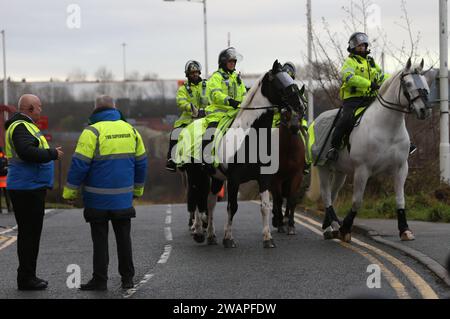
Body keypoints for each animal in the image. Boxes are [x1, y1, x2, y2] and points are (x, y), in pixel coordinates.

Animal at [308, 58, 438, 242]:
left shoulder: (401, 168)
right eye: (408, 83)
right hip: (323, 167)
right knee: (326, 195)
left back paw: (329, 227)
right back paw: (333, 226)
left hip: (340, 172)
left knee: (333, 195)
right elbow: (357, 201)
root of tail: (317, 119)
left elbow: (400, 199)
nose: (424, 110)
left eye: (425, 82)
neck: (387, 128)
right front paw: (345, 229)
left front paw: (405, 230)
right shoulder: (363, 169)